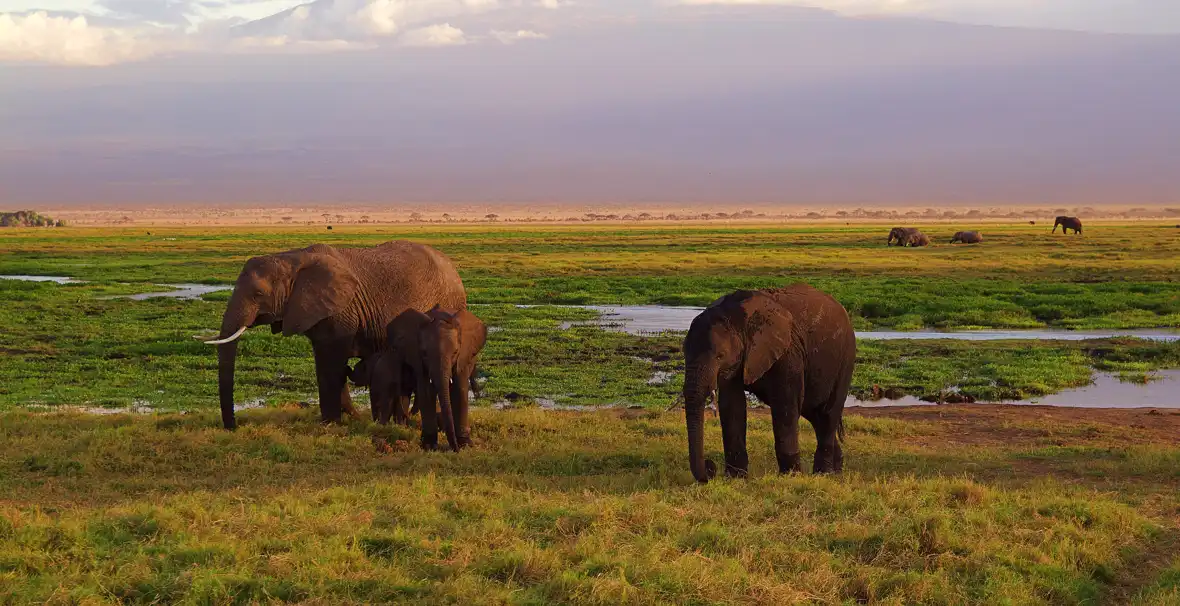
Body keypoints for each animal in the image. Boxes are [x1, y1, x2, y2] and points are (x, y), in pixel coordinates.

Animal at [202, 241, 467, 430]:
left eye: (258, 294)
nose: (233, 427)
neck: (291, 258)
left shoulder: (340, 311)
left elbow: (330, 364)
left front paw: (330, 425)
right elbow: (328, 364)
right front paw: (347, 417)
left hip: (449, 305)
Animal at [682, 284, 857, 483]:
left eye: (720, 356)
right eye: (684, 352)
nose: (711, 468)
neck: (739, 317)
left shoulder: (788, 351)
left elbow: (785, 404)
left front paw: (790, 476)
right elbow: (733, 405)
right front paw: (736, 478)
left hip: (845, 358)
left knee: (828, 413)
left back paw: (824, 474)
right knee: (814, 413)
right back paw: (837, 471)